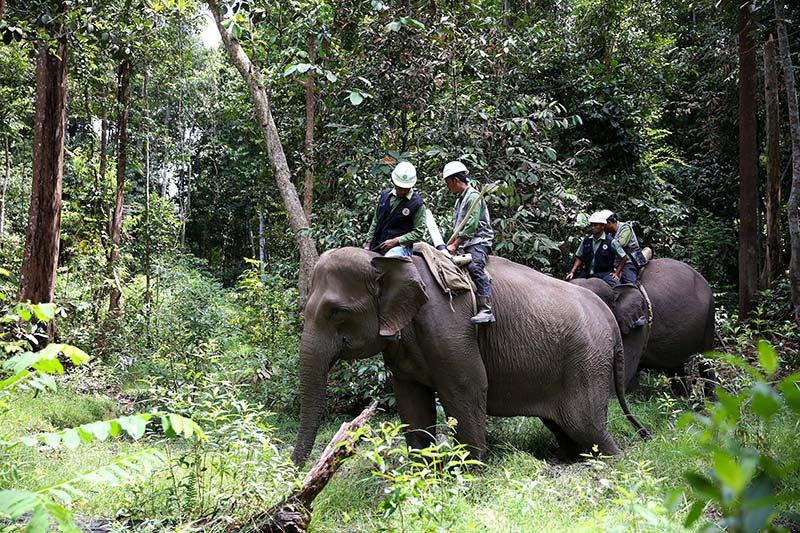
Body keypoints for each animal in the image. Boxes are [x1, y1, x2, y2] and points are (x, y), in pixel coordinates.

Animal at [291, 247, 650, 466]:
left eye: (337, 312)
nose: (295, 474)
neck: (386, 261)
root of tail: (609, 318)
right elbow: (411, 401)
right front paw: (423, 475)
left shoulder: (450, 327)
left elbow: (467, 388)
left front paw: (473, 473)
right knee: (565, 426)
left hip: (587, 361)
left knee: (586, 425)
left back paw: (617, 464)